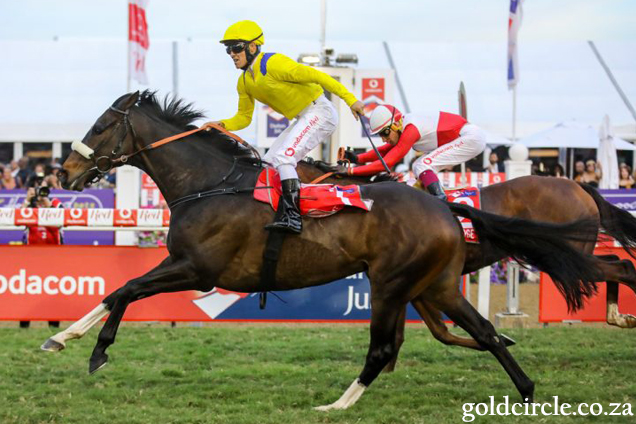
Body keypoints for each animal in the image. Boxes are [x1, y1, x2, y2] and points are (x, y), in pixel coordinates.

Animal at [42, 91, 604, 410]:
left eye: (100, 126)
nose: (62, 173)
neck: (210, 184)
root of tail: (445, 209)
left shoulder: (196, 268)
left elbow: (125, 289)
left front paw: (91, 348)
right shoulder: (186, 267)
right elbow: (118, 292)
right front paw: (65, 339)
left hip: (392, 284)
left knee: (383, 348)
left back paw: (337, 405)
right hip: (436, 286)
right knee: (482, 332)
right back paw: (526, 388)